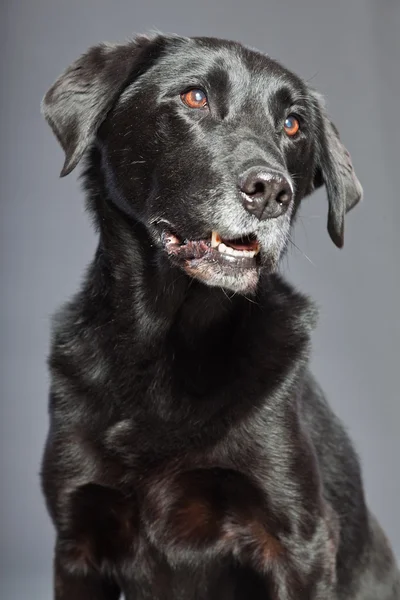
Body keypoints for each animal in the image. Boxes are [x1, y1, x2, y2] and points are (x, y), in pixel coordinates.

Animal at [40, 34, 400, 600]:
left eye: (293, 124)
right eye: (194, 97)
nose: (272, 191)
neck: (165, 345)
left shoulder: (299, 543)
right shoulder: (78, 542)